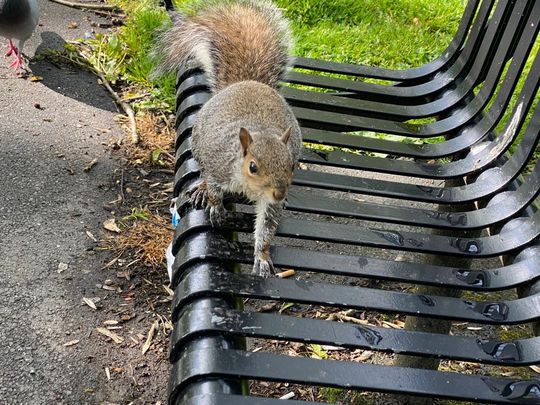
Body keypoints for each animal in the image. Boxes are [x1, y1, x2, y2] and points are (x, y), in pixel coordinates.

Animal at [154, 0, 302, 276]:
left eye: (291, 166)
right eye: (253, 167)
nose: (279, 194)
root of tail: (246, 82)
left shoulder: (269, 202)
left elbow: (266, 227)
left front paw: (262, 256)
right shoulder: (218, 164)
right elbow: (214, 187)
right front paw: (215, 206)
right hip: (199, 143)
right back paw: (201, 190)